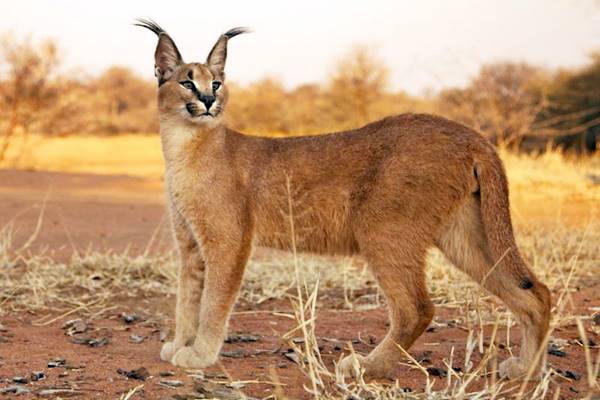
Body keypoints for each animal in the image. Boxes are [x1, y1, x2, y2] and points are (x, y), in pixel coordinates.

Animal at [137, 19, 552, 382]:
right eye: (187, 82)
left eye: (217, 83)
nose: (209, 100)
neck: (185, 146)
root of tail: (470, 134)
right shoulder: (190, 247)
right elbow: (187, 299)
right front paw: (180, 344)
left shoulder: (227, 240)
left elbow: (213, 302)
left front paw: (200, 354)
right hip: (464, 234)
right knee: (536, 293)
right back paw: (526, 371)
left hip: (383, 229)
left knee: (417, 308)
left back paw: (368, 367)